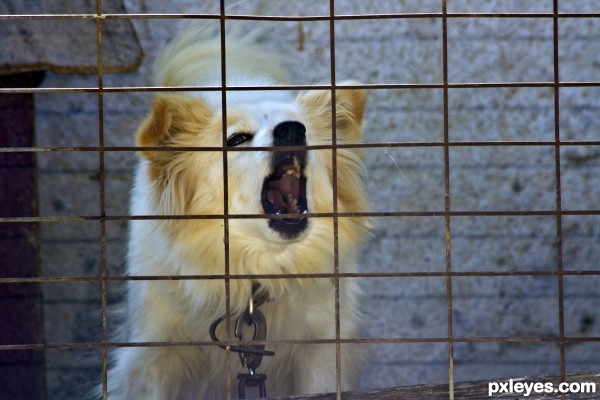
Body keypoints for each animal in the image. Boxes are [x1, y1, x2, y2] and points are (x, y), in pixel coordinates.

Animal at [107, 25, 370, 400]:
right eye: (236, 140)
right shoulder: (153, 355)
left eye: (299, 126)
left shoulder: (320, 349)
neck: (255, 269)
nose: (292, 129)